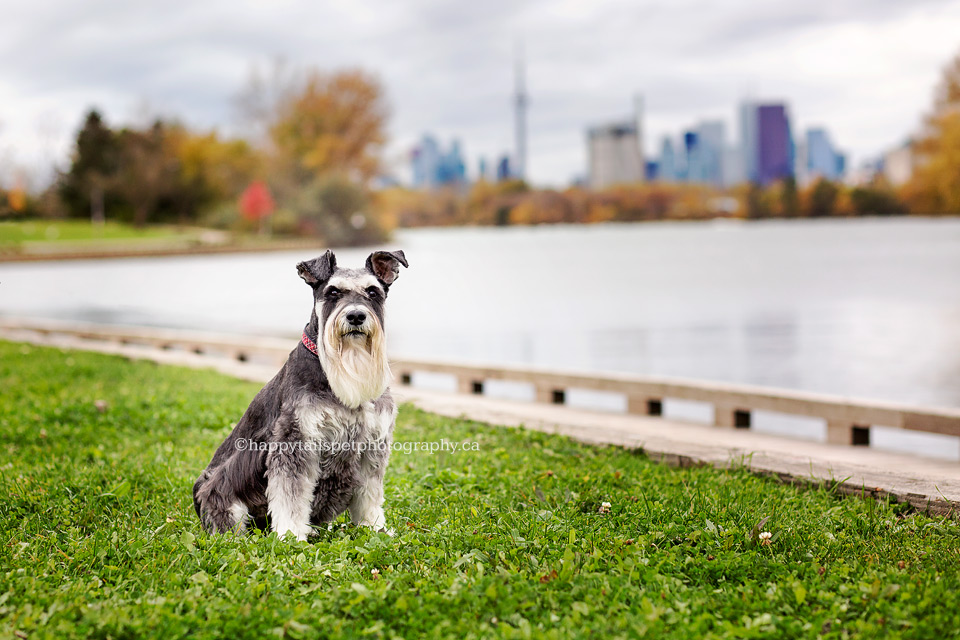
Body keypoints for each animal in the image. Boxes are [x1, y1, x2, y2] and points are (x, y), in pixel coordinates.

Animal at [193, 250, 406, 540]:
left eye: (373, 292)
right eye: (333, 292)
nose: (356, 316)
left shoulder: (372, 445)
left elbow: (370, 494)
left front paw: (373, 527)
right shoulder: (295, 439)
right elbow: (290, 495)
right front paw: (292, 536)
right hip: (220, 489)